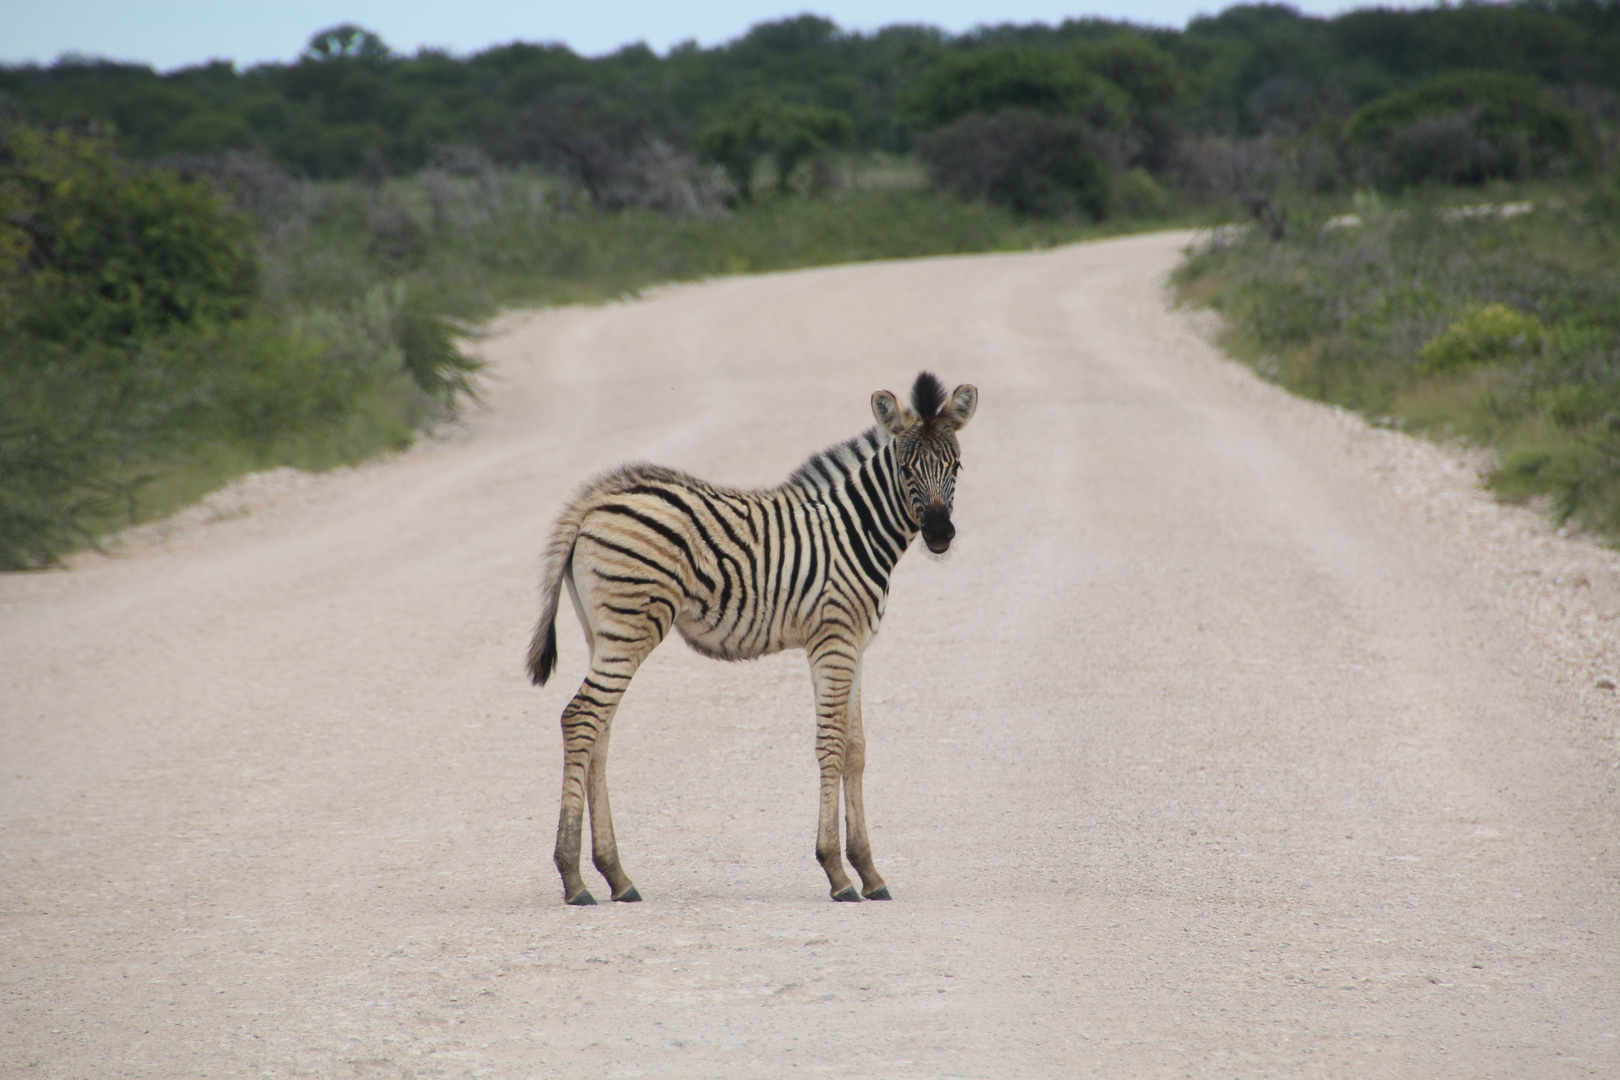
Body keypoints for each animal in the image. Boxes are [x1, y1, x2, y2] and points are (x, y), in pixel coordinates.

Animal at [524, 372, 972, 906]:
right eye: (906, 468)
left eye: (957, 466)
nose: (940, 534)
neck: (855, 531)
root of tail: (593, 502)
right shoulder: (832, 642)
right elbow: (831, 744)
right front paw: (837, 873)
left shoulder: (857, 645)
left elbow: (857, 749)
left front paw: (870, 872)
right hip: (631, 626)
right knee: (580, 718)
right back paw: (573, 879)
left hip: (603, 632)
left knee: (600, 730)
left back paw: (616, 876)